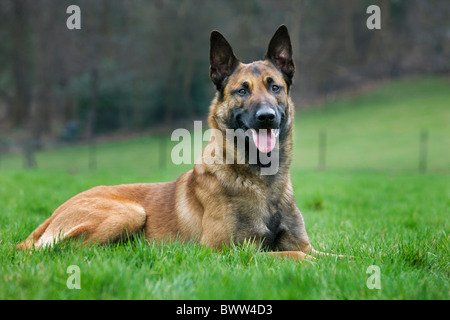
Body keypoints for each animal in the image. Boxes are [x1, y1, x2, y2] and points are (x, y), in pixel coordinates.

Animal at [17, 24, 334, 260]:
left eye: (275, 87)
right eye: (242, 91)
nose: (266, 117)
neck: (262, 182)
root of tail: (52, 216)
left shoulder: (305, 244)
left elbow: (335, 257)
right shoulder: (227, 252)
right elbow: (294, 256)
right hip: (130, 212)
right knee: (74, 251)